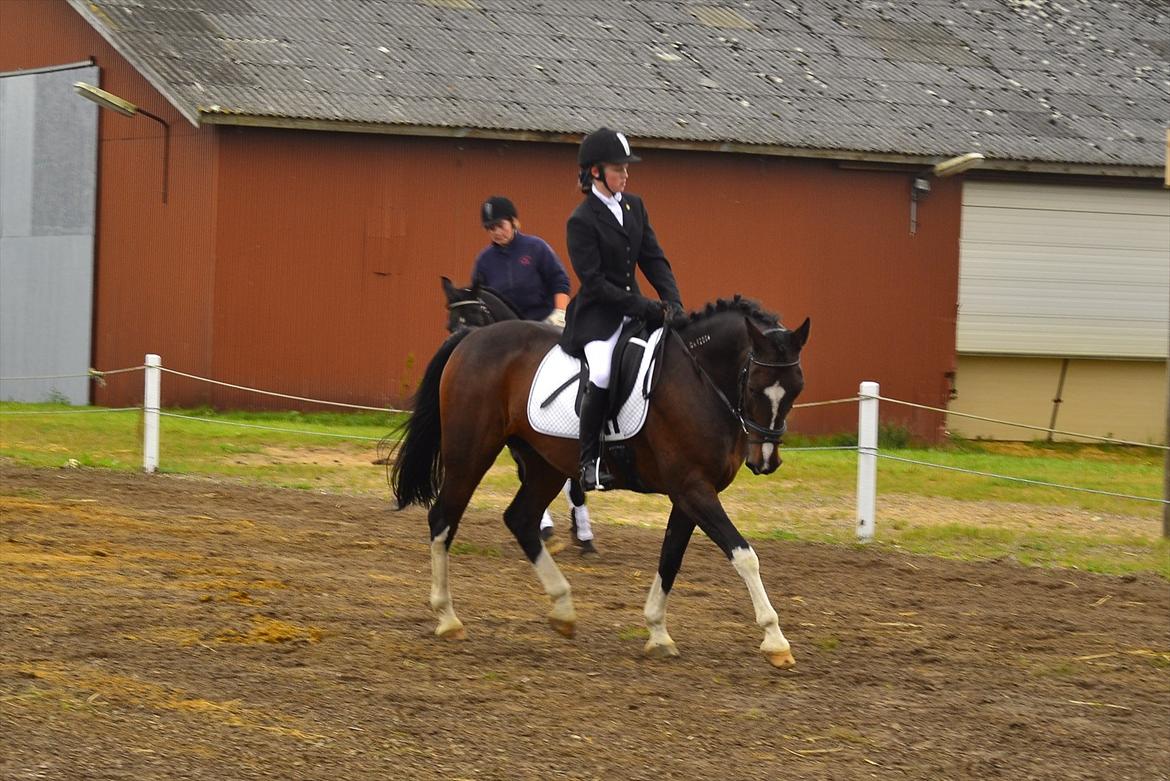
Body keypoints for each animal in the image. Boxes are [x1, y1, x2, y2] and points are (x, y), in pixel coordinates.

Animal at [388, 295, 809, 668]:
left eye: (797, 388)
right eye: (754, 386)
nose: (765, 460)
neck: (699, 381)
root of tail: (472, 337)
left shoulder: (689, 494)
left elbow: (670, 558)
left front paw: (658, 633)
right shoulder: (693, 489)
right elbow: (744, 554)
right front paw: (775, 641)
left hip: (545, 465)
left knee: (521, 518)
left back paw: (563, 610)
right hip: (470, 453)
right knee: (443, 519)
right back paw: (447, 618)